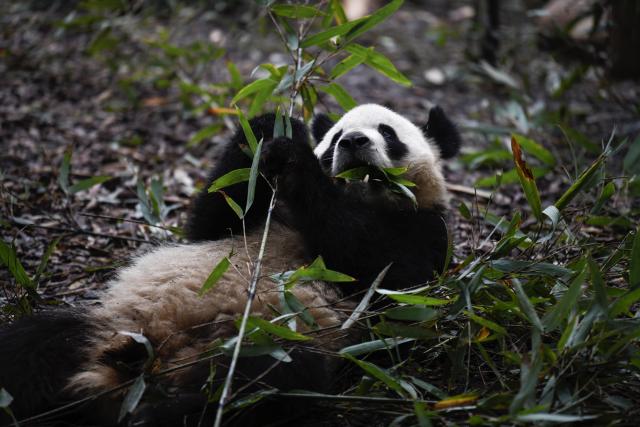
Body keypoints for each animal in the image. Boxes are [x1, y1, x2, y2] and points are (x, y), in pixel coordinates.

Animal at [0, 103, 460, 426]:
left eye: (387, 133)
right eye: (335, 137)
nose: (353, 143)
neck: (363, 194)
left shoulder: (424, 232)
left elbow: (380, 269)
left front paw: (295, 160)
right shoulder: (254, 216)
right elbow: (213, 220)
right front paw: (275, 124)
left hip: (270, 338)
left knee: (267, 379)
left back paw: (159, 412)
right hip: (107, 323)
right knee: (31, 345)